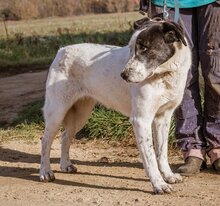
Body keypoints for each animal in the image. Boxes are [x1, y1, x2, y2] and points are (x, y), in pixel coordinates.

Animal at [40, 16, 192, 194]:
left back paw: (65, 165)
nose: (123, 75)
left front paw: (168, 176)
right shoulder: (141, 120)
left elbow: (162, 153)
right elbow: (150, 156)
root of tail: (62, 50)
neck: (164, 75)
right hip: (56, 111)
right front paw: (159, 184)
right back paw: (45, 172)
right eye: (131, 49)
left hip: (81, 114)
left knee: (65, 136)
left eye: (144, 47)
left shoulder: (163, 117)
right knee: (45, 140)